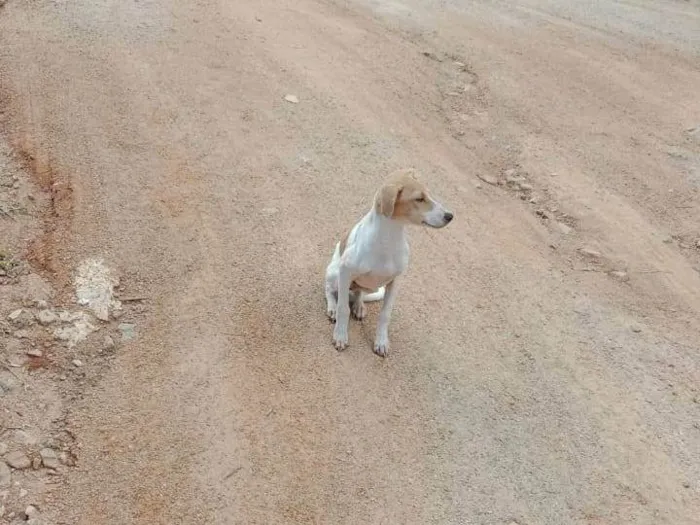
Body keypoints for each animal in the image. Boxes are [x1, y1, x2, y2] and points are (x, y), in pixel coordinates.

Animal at [324, 168, 454, 356]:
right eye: (419, 199)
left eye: (428, 195)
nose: (450, 216)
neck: (388, 239)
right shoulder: (345, 270)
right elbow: (343, 308)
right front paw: (340, 335)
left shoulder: (395, 281)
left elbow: (385, 315)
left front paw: (381, 342)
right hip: (335, 275)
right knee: (330, 290)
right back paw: (332, 307)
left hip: (370, 286)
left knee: (358, 292)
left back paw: (359, 306)